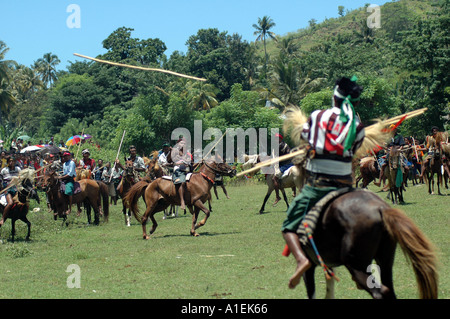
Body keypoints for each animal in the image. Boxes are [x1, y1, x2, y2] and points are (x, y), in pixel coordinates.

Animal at [298, 188, 438, 300]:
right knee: (389, 289)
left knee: (379, 292)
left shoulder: (308, 265)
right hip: (385, 261)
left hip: (356, 265)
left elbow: (312, 291)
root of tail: (380, 208)